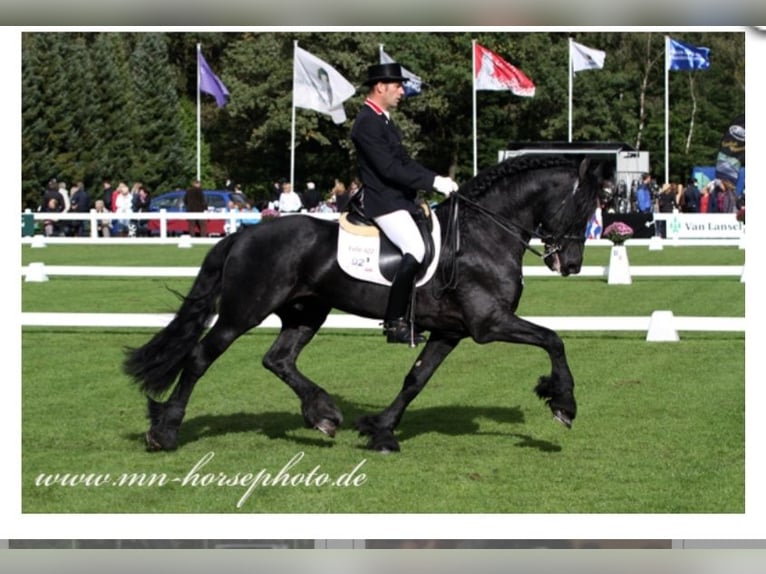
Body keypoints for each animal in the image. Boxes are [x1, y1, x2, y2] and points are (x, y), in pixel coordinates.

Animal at [123, 156, 608, 454]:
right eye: (582, 207)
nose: (571, 264)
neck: (481, 235)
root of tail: (243, 233)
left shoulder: (450, 331)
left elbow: (415, 380)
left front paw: (380, 431)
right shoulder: (489, 323)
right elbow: (554, 339)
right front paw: (563, 405)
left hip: (306, 312)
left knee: (278, 359)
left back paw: (323, 414)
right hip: (243, 311)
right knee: (201, 356)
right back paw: (165, 431)